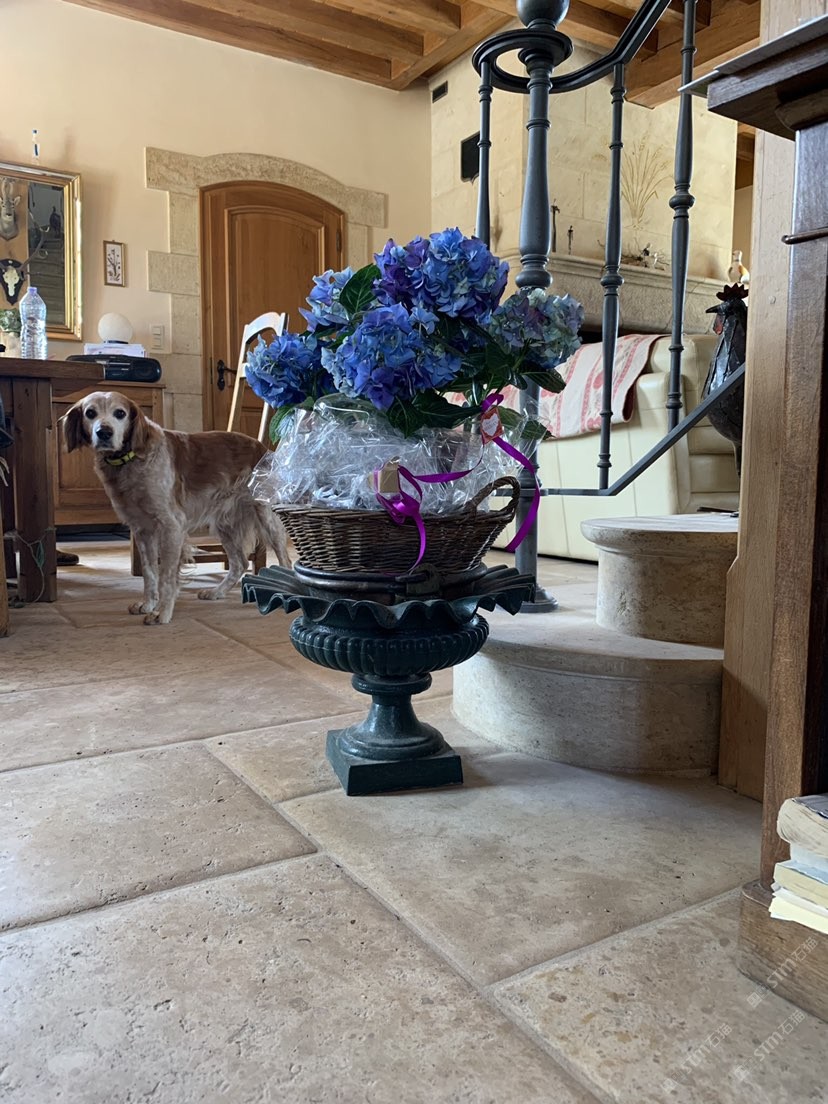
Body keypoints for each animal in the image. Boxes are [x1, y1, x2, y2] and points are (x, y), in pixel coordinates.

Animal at [63, 391, 289, 624]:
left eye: (120, 413)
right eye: (90, 413)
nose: (104, 432)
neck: (131, 460)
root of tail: (263, 448)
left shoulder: (171, 526)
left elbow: (166, 577)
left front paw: (162, 612)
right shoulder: (143, 530)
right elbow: (150, 573)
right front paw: (147, 604)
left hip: (267, 518)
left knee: (284, 559)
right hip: (225, 525)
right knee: (240, 563)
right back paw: (216, 592)